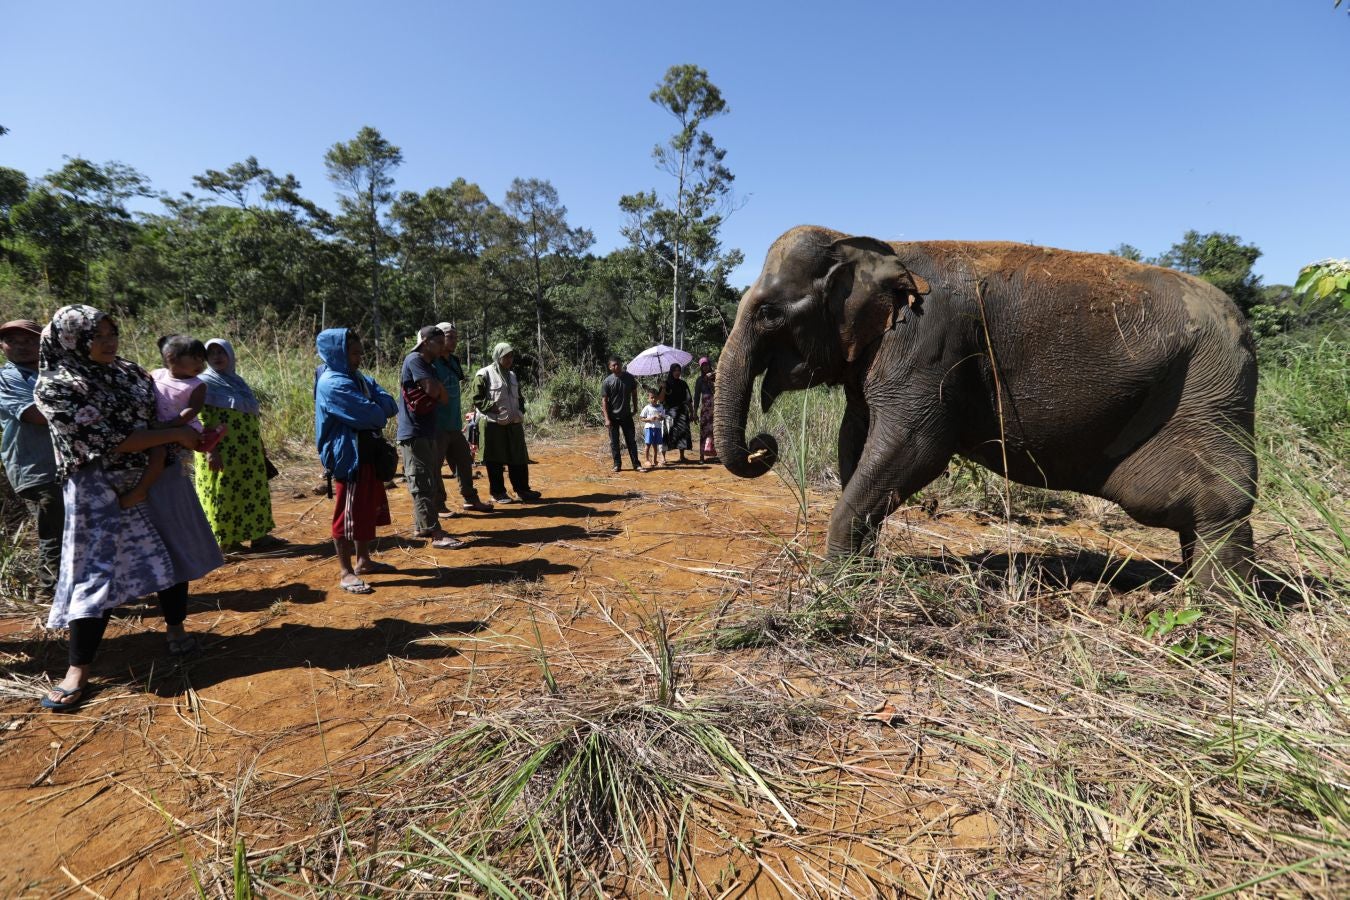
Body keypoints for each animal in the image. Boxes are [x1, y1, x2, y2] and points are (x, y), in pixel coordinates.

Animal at [718, 226, 1252, 591]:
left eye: (769, 312)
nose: (762, 444)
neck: (877, 243)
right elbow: (855, 441)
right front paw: (859, 571)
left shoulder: (929, 344)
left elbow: (916, 447)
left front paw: (833, 583)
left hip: (1210, 391)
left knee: (1220, 501)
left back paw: (1218, 605)